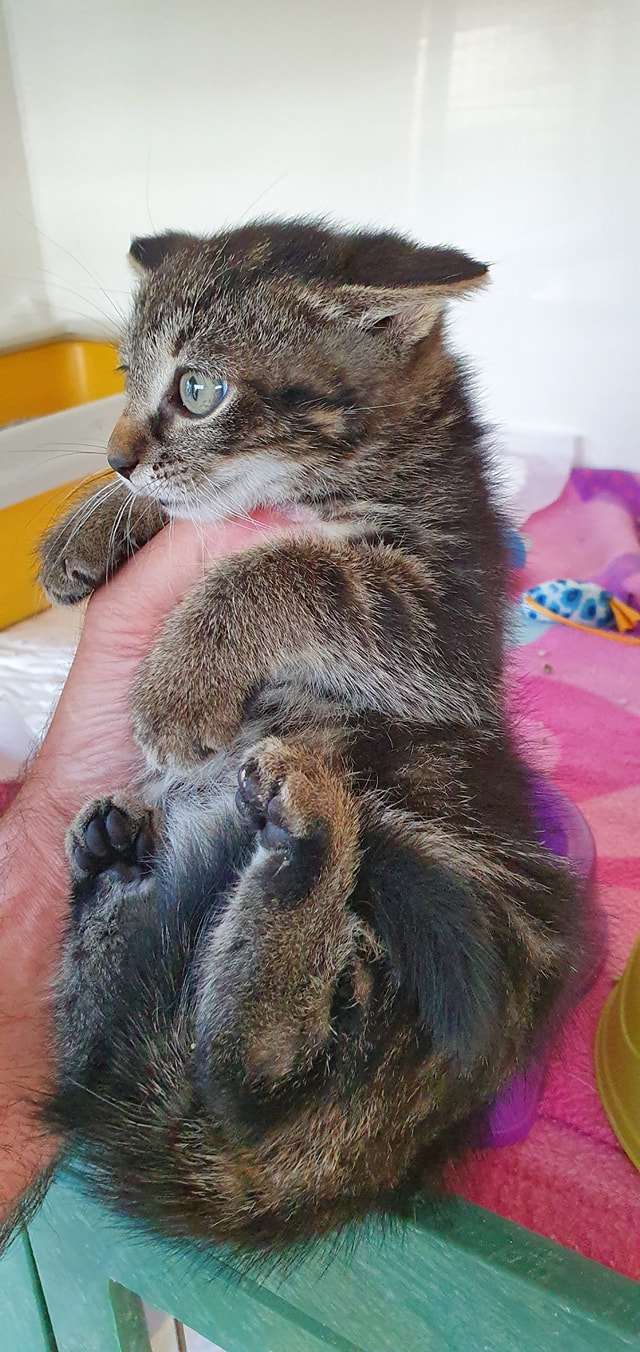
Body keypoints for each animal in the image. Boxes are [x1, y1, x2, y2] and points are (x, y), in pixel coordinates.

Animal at [35, 220, 584, 1252]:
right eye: (125, 375)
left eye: (197, 389)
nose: (117, 457)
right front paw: (90, 524)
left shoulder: (450, 626)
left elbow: (301, 569)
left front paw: (176, 680)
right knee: (121, 1063)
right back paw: (117, 881)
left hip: (432, 830)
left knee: (255, 1076)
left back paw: (302, 859)